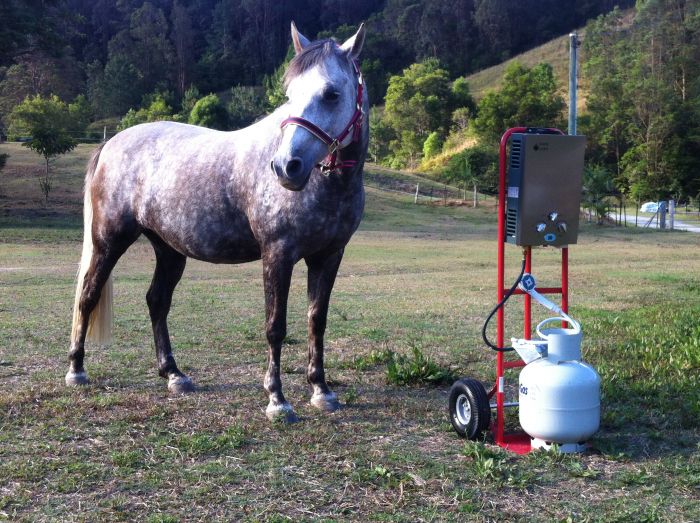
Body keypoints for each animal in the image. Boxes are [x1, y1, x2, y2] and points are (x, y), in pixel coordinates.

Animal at [66, 23, 369, 423]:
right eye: (289, 95)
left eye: (332, 94)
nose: (285, 167)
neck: (327, 185)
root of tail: (112, 142)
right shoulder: (278, 255)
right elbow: (275, 326)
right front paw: (277, 400)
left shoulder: (329, 256)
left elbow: (316, 321)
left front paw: (321, 390)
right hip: (109, 240)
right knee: (88, 295)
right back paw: (76, 369)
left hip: (169, 250)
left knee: (156, 301)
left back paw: (174, 374)